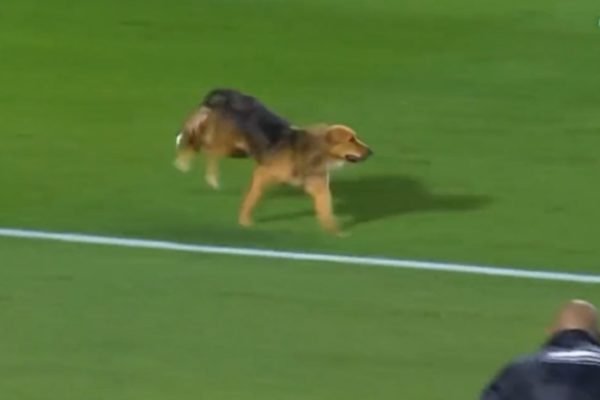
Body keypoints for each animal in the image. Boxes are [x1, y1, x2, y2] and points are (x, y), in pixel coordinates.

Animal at [171, 88, 372, 234]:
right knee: (202, 141)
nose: (371, 152)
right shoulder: (263, 173)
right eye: (351, 140)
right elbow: (252, 199)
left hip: (237, 150)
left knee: (203, 143)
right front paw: (245, 221)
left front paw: (336, 232)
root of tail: (231, 94)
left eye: (356, 138)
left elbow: (326, 211)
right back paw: (189, 163)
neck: (314, 152)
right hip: (226, 143)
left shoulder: (319, 188)